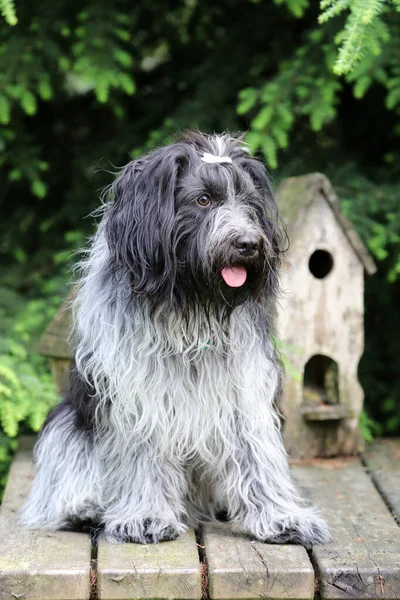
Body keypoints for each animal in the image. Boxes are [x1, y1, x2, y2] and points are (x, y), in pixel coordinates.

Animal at [20, 132, 330, 548]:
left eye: (249, 204)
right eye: (203, 200)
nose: (249, 243)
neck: (192, 302)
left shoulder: (243, 389)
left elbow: (256, 452)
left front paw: (281, 517)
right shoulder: (137, 394)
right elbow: (143, 452)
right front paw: (145, 516)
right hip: (68, 420)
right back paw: (84, 509)